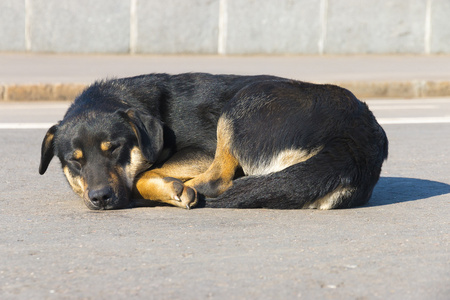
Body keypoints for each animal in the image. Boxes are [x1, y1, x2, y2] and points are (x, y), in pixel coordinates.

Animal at [40, 73, 388, 210]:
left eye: (115, 149)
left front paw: (169, 189)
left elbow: (141, 175)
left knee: (218, 181)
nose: (99, 198)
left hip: (242, 103)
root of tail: (356, 140)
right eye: (74, 161)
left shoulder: (202, 151)